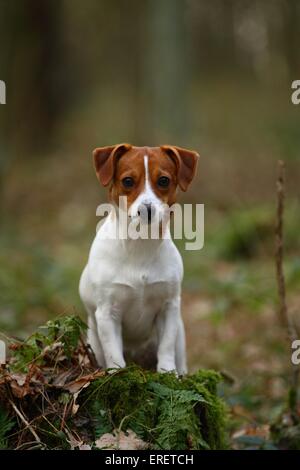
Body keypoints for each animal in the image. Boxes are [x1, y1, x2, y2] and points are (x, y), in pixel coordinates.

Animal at [78, 143, 198, 374]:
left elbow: (166, 347)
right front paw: (117, 374)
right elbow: (114, 354)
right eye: (127, 181)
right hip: (94, 341)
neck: (140, 245)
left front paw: (168, 374)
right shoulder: (107, 313)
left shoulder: (168, 308)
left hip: (180, 337)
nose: (147, 210)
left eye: (163, 180)